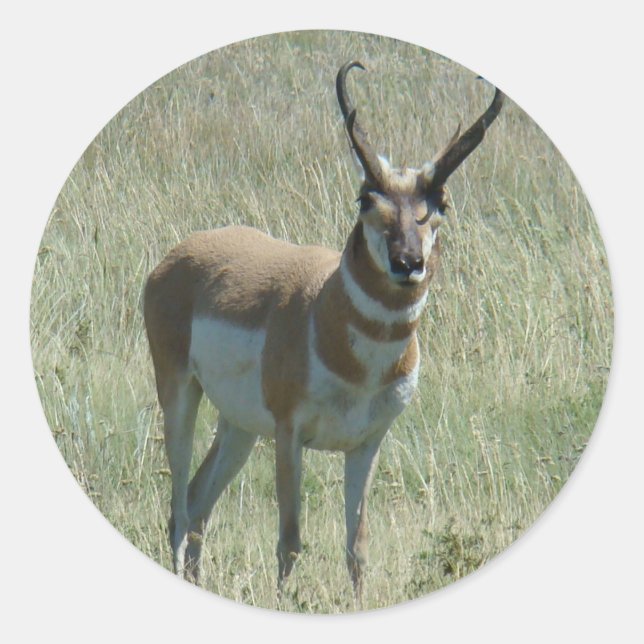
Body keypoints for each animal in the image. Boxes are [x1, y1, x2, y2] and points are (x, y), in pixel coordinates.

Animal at [144, 61, 503, 598]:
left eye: (439, 201)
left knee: (198, 501)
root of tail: (181, 253)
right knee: (178, 510)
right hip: (181, 395)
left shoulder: (367, 443)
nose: (407, 263)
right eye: (365, 198)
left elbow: (357, 548)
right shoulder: (290, 434)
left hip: (239, 427)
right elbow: (290, 540)